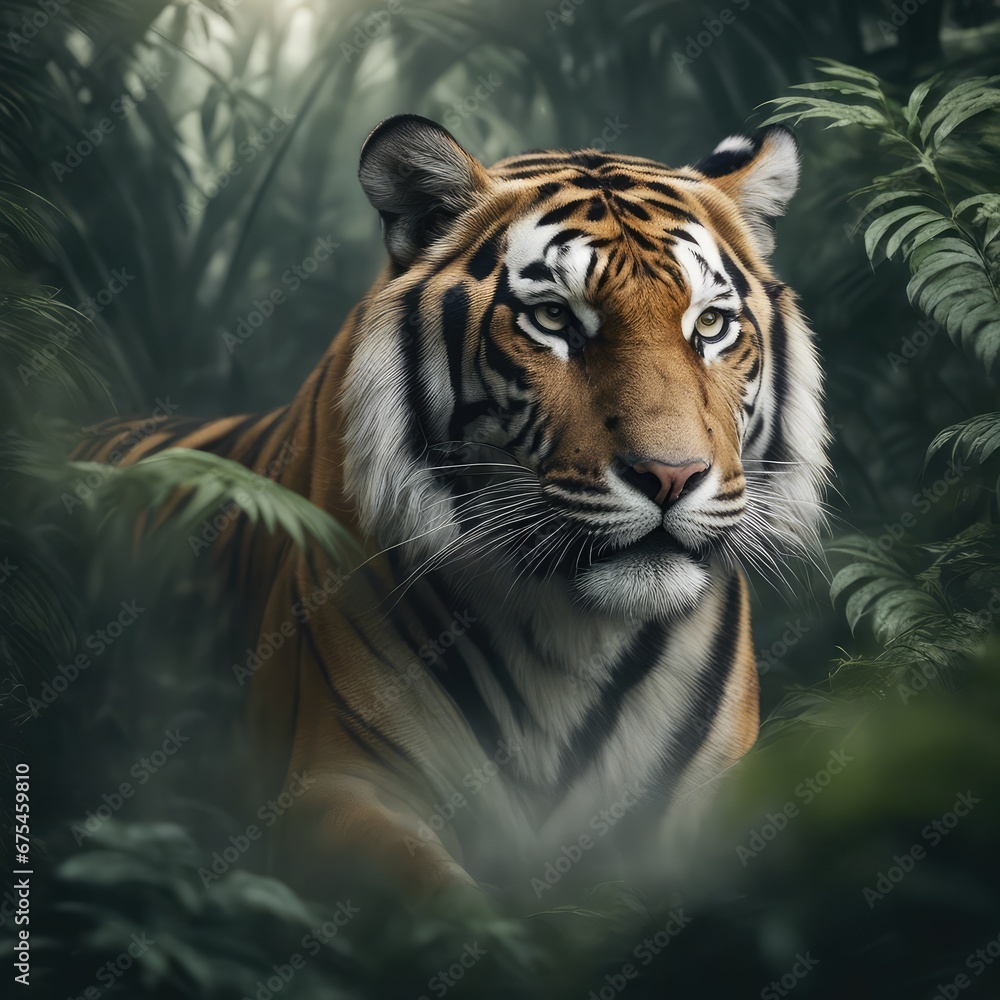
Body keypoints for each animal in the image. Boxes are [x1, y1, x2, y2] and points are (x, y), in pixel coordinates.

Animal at [73, 114, 828, 899]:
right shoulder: (334, 783)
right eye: (553, 318)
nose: (671, 475)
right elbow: (438, 900)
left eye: (709, 325)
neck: (574, 633)